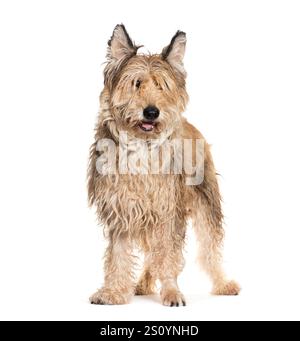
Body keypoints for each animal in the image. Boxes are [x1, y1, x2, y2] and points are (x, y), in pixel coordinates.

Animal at [86, 24, 239, 306]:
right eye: (136, 83)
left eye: (162, 86)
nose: (151, 112)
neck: (141, 147)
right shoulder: (122, 208)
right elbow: (118, 255)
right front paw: (113, 291)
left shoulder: (168, 211)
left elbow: (168, 253)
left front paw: (171, 291)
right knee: (150, 254)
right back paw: (143, 283)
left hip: (207, 202)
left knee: (210, 250)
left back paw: (224, 284)